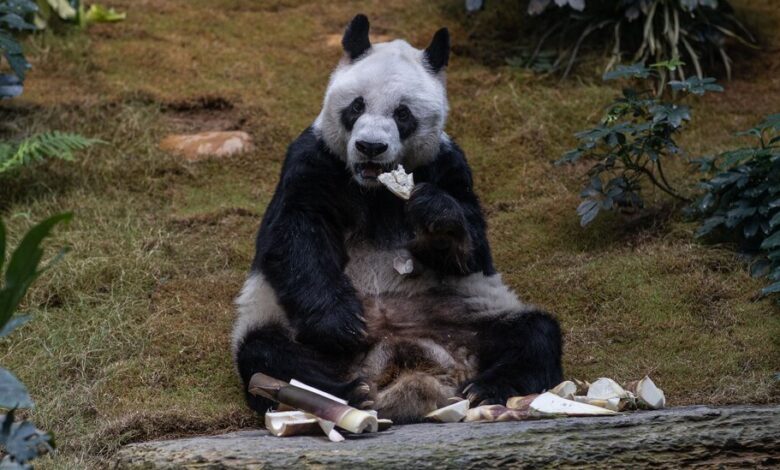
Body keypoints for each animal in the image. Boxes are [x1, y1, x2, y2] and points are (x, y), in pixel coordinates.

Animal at [232, 14, 563, 423]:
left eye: (402, 114)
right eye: (356, 106)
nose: (370, 147)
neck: (374, 188)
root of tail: (405, 365)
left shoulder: (447, 165)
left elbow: (472, 249)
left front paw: (436, 214)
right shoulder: (314, 160)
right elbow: (295, 234)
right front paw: (342, 323)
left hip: (469, 315)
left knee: (534, 333)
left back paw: (486, 389)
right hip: (285, 323)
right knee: (269, 353)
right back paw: (346, 393)